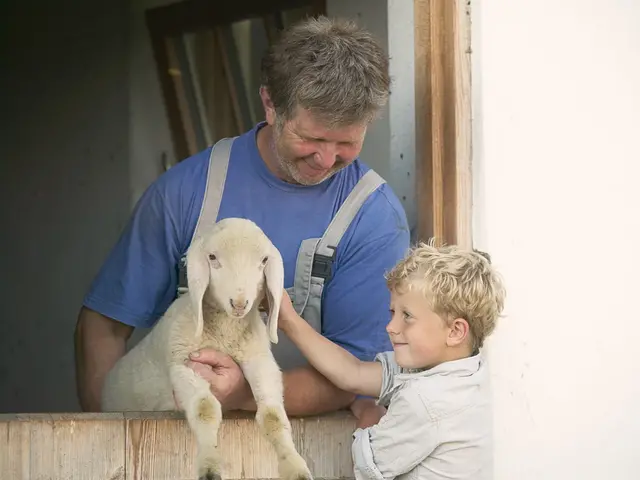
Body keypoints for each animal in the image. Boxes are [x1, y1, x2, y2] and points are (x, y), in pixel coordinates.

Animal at [99, 217, 316, 480]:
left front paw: (295, 466)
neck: (225, 334)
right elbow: (206, 409)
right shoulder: (185, 362)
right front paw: (209, 465)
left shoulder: (260, 360)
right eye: (212, 257)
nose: (239, 303)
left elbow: (273, 416)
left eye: (264, 261)